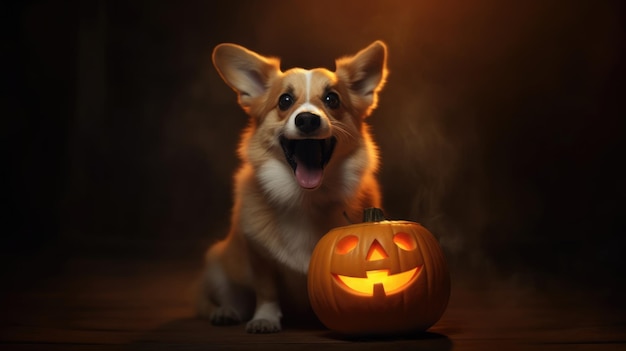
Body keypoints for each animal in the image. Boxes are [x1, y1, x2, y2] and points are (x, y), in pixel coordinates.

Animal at [197, 40, 388, 332]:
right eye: (285, 101)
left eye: (332, 99)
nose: (307, 119)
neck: (305, 199)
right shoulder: (258, 255)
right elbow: (266, 290)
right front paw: (265, 318)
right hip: (217, 265)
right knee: (222, 300)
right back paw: (225, 312)